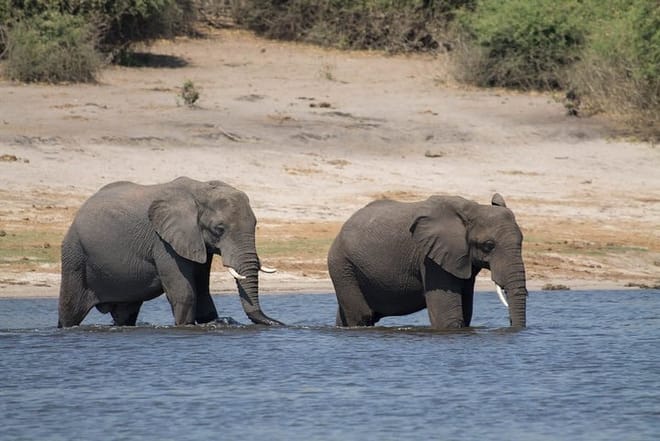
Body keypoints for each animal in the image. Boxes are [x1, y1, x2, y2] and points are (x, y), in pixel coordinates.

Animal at [58, 177, 282, 327]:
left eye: (255, 225)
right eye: (219, 229)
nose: (278, 323)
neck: (200, 190)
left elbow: (202, 292)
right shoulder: (163, 242)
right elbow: (185, 294)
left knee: (125, 314)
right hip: (74, 255)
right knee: (70, 311)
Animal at [327, 193, 527, 329]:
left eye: (522, 241)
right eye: (488, 245)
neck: (473, 209)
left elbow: (465, 313)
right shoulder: (430, 259)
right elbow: (448, 319)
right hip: (342, 265)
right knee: (361, 315)